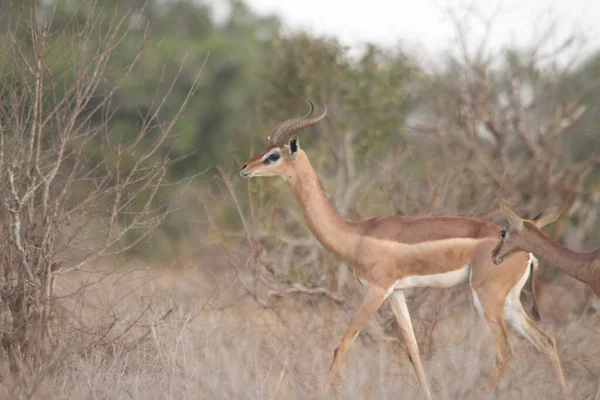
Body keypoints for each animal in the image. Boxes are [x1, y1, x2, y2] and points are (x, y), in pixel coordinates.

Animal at [239, 101, 568, 398]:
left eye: (273, 155)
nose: (244, 168)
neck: (356, 235)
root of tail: (528, 252)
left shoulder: (377, 290)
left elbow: (342, 343)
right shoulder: (397, 293)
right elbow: (413, 349)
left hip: (487, 299)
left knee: (506, 352)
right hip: (510, 302)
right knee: (547, 342)